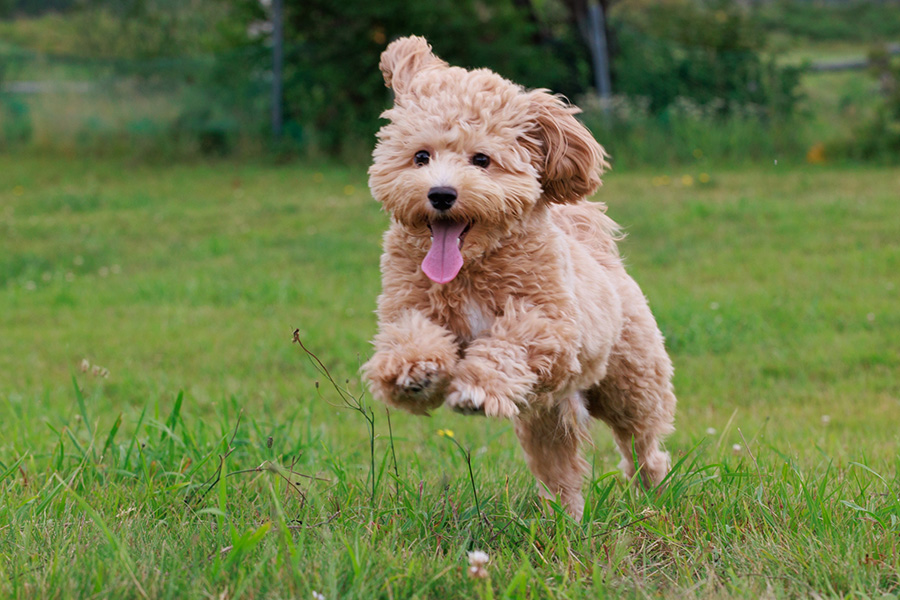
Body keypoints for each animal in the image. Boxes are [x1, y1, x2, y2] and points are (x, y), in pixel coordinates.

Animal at [360, 35, 676, 516]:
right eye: (421, 157)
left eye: (482, 159)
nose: (441, 194)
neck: (471, 267)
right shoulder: (407, 308)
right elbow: (410, 337)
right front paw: (415, 373)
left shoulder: (551, 326)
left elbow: (509, 344)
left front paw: (474, 390)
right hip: (547, 415)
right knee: (560, 468)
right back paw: (564, 518)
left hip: (632, 382)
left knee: (643, 441)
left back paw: (654, 488)